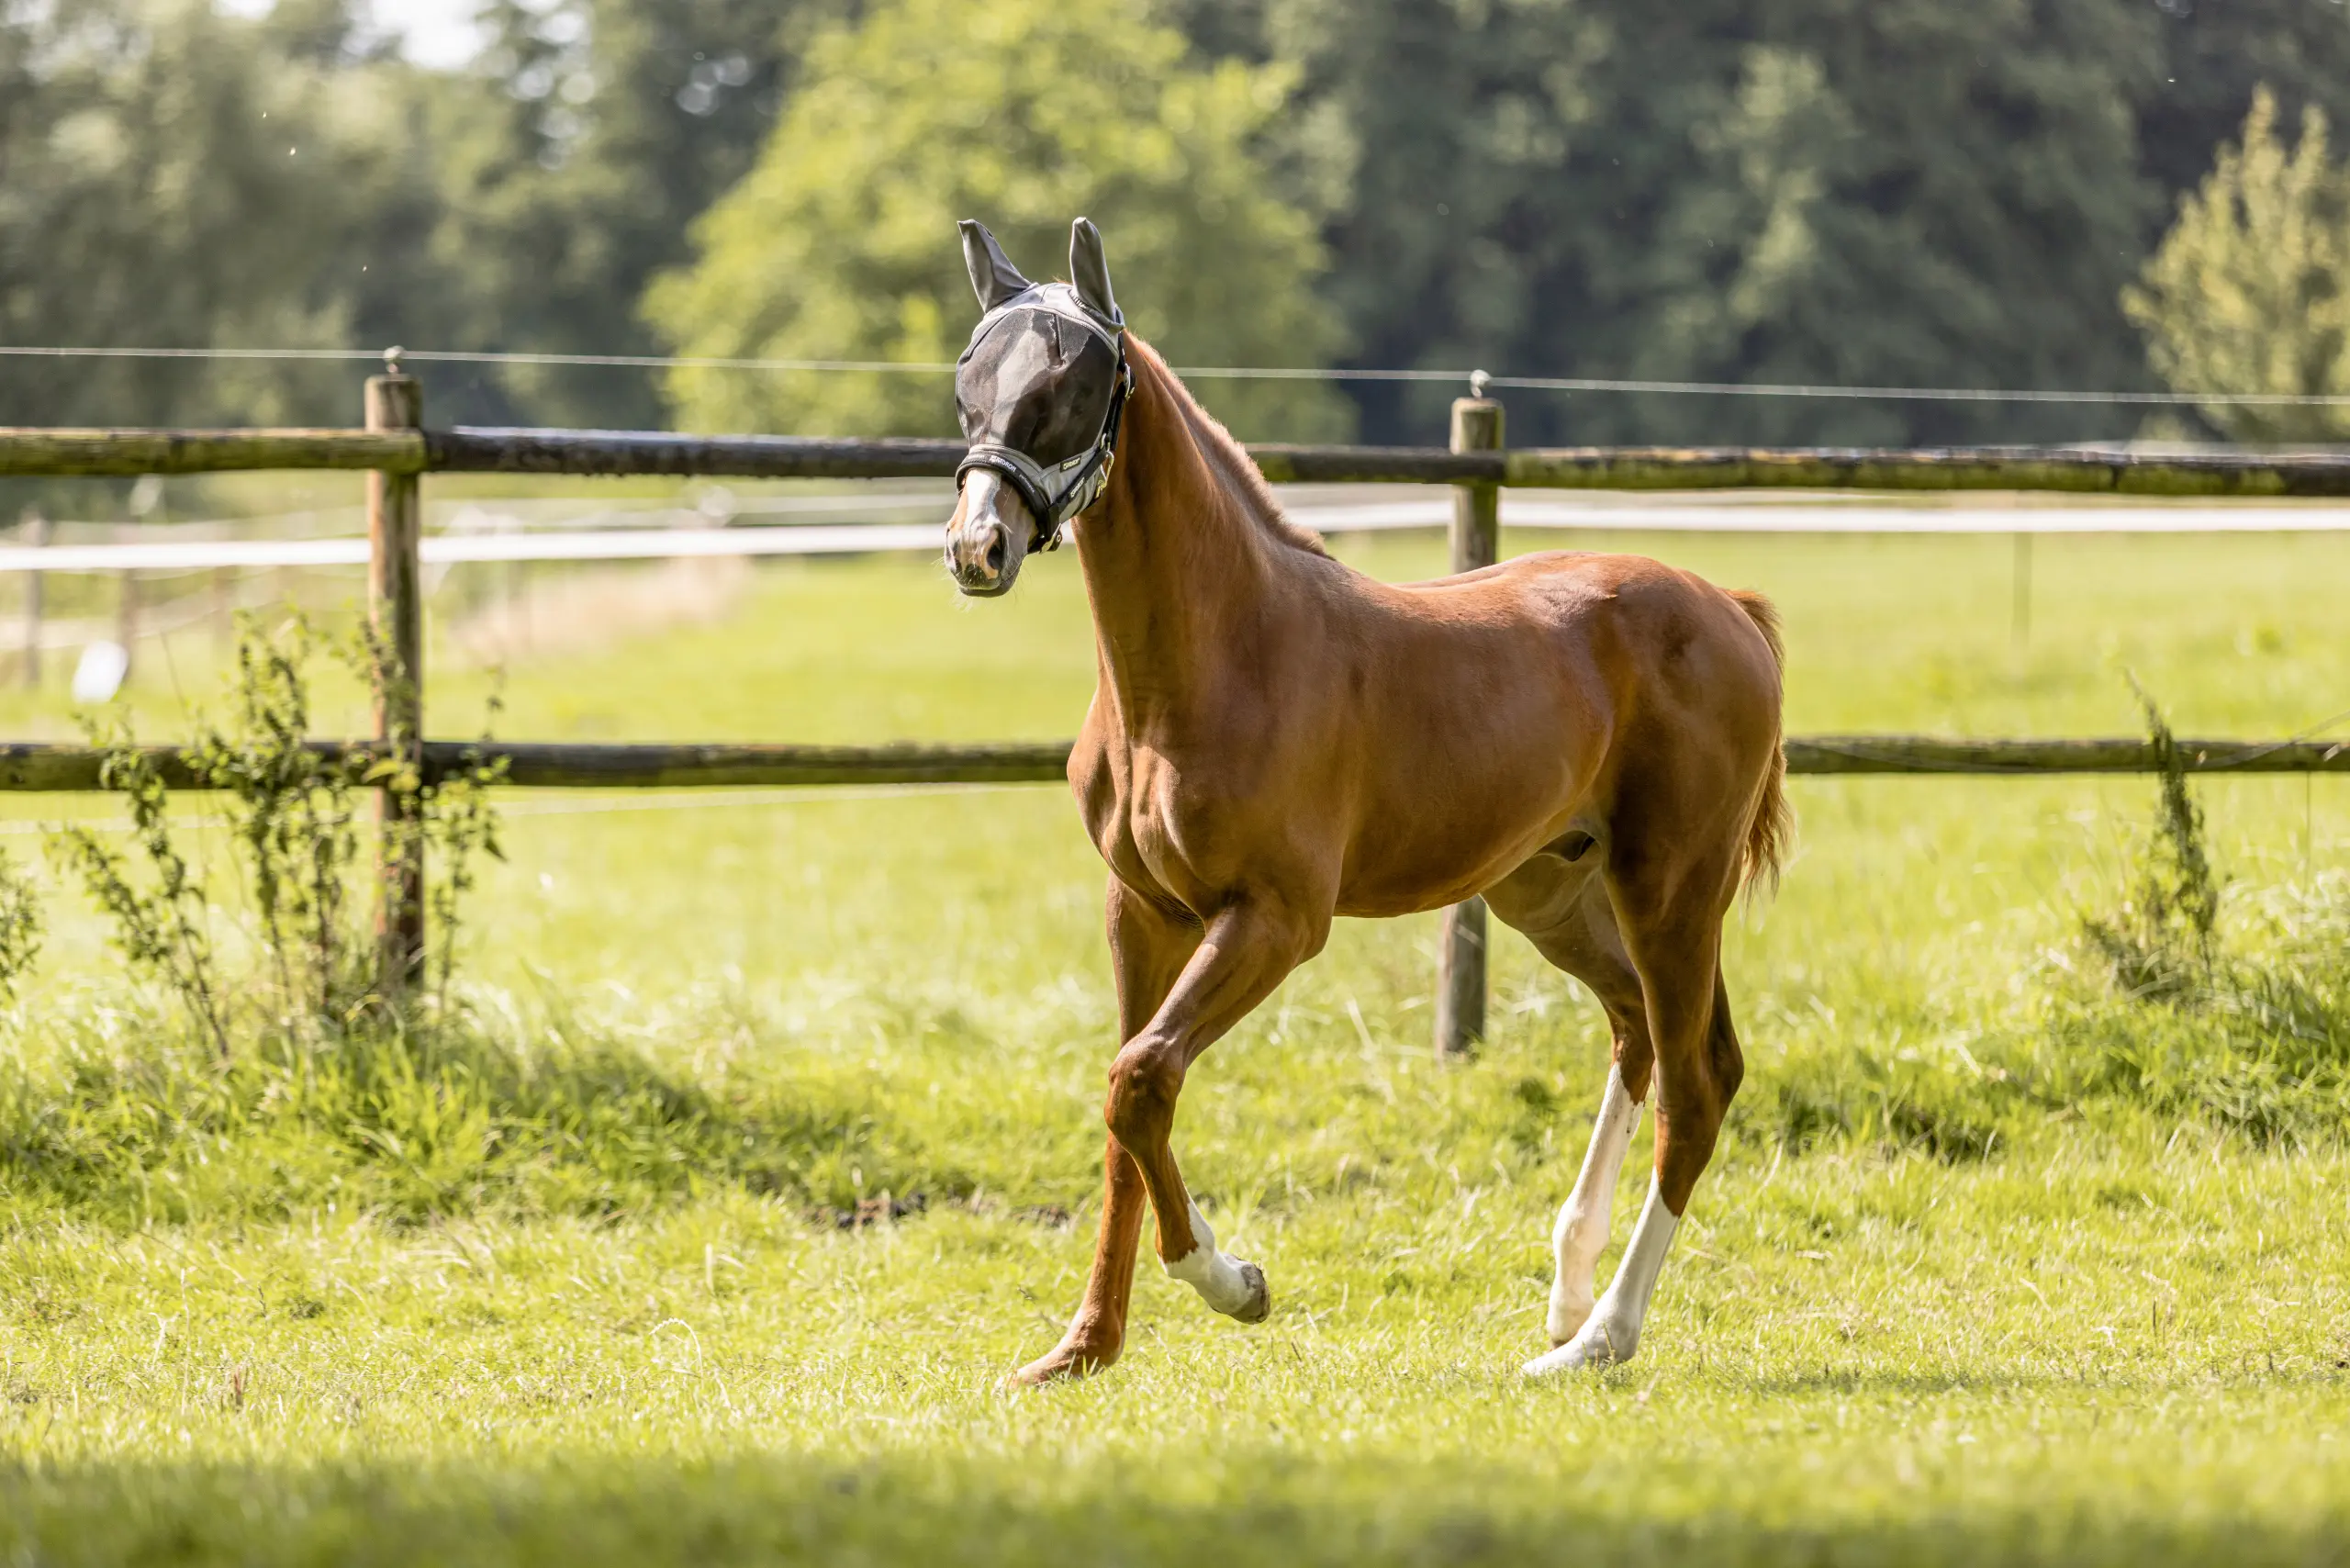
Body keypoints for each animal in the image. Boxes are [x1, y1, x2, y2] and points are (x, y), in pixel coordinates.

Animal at [943, 217, 1790, 1386]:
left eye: (1071, 384)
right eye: (967, 381)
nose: (976, 547)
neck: (1216, 657)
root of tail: (1732, 609)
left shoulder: (1276, 919)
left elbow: (1141, 1077)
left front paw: (1233, 1282)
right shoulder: (1143, 912)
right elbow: (1125, 1110)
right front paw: (1081, 1347)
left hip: (1670, 888)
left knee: (1698, 1080)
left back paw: (1598, 1340)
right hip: (1553, 894)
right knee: (1639, 1034)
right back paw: (1567, 1292)